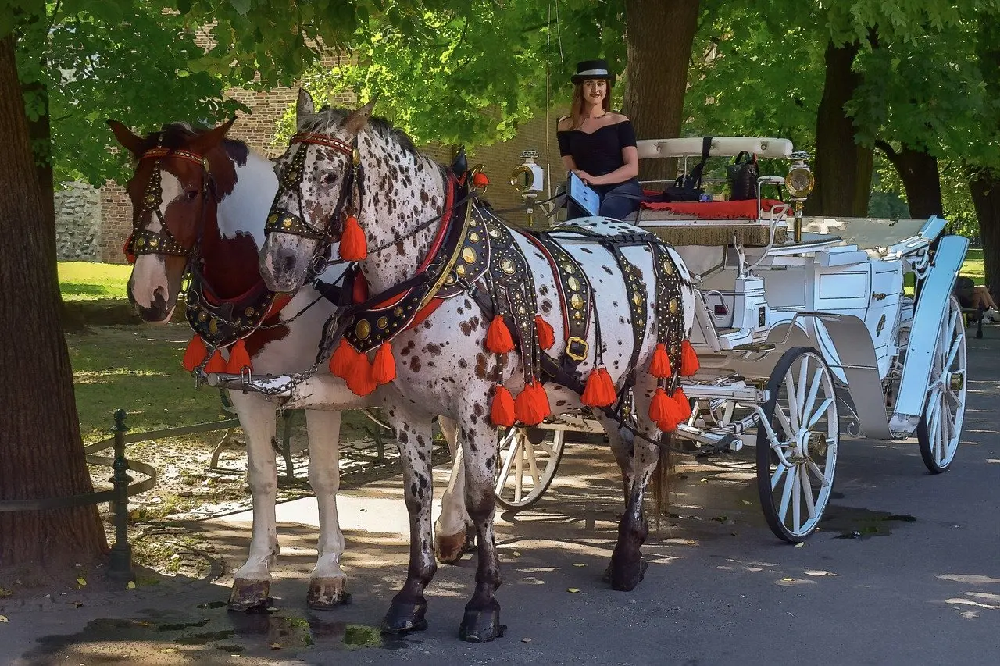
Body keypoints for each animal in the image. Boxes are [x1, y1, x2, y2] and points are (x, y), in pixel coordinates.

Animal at [105, 118, 472, 612]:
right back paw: (456, 525)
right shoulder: (248, 391)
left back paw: (451, 524)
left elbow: (323, 476)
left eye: (192, 193)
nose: (148, 296)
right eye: (131, 187)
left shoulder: (318, 395)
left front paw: (328, 569)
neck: (276, 290)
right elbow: (261, 476)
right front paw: (256, 569)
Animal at [258, 91, 696, 640]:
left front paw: (484, 602)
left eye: (329, 175)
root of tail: (661, 246)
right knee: (627, 455)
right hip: (604, 387)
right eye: (280, 170)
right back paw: (626, 550)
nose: (277, 265)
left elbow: (481, 499)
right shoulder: (406, 407)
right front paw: (412, 594)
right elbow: (416, 496)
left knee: (647, 452)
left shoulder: (478, 405)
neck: (432, 267)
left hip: (652, 378)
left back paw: (628, 557)